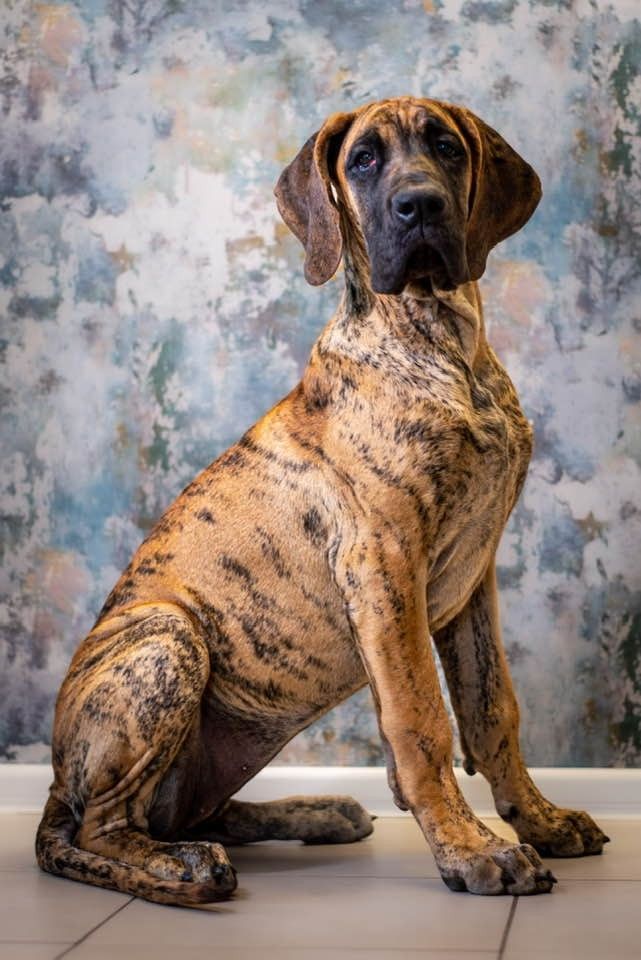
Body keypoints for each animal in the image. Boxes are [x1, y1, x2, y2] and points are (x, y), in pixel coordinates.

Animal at [36, 96, 608, 905]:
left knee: (183, 812)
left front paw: (539, 819)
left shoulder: (473, 576)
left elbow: (492, 707)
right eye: (363, 161)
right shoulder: (385, 566)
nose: (419, 205)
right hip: (166, 635)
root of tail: (56, 781)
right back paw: (183, 869)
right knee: (93, 833)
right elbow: (421, 720)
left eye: (446, 147)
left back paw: (317, 812)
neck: (439, 340)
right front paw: (473, 850)